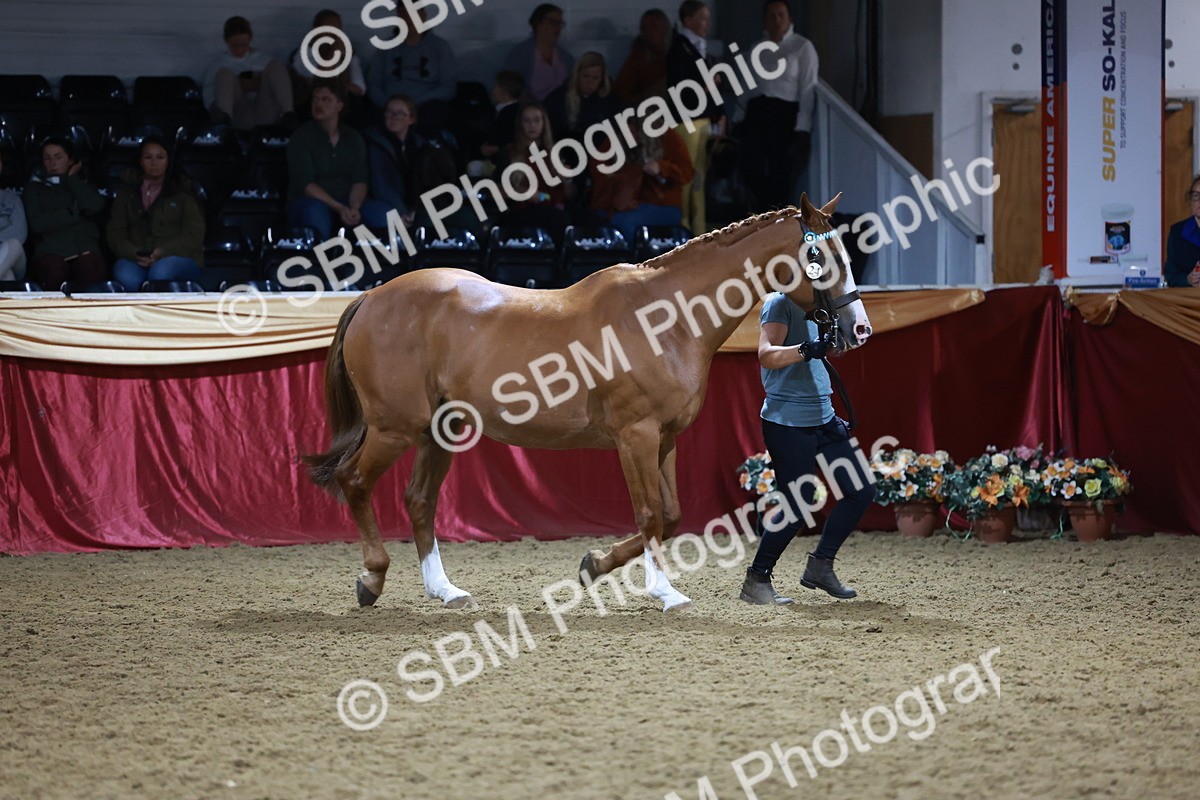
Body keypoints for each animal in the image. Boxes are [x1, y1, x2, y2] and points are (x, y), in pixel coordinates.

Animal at [304, 193, 872, 612]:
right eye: (818, 256)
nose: (858, 330)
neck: (666, 319)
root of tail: (372, 298)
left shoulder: (665, 439)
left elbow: (670, 514)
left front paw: (595, 564)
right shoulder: (635, 436)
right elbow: (649, 515)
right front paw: (664, 592)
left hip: (438, 431)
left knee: (419, 501)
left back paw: (445, 591)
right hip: (395, 428)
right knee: (355, 481)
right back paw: (372, 581)